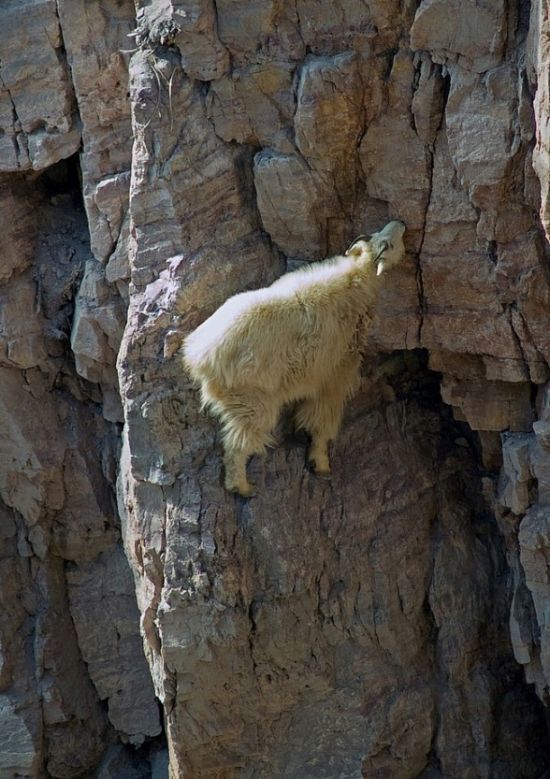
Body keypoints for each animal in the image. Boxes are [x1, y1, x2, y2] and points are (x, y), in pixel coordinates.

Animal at [183, 222, 408, 496]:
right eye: (389, 244)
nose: (400, 224)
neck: (356, 281)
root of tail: (199, 356)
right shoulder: (337, 370)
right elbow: (322, 418)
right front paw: (321, 463)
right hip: (250, 395)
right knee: (241, 438)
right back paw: (242, 486)